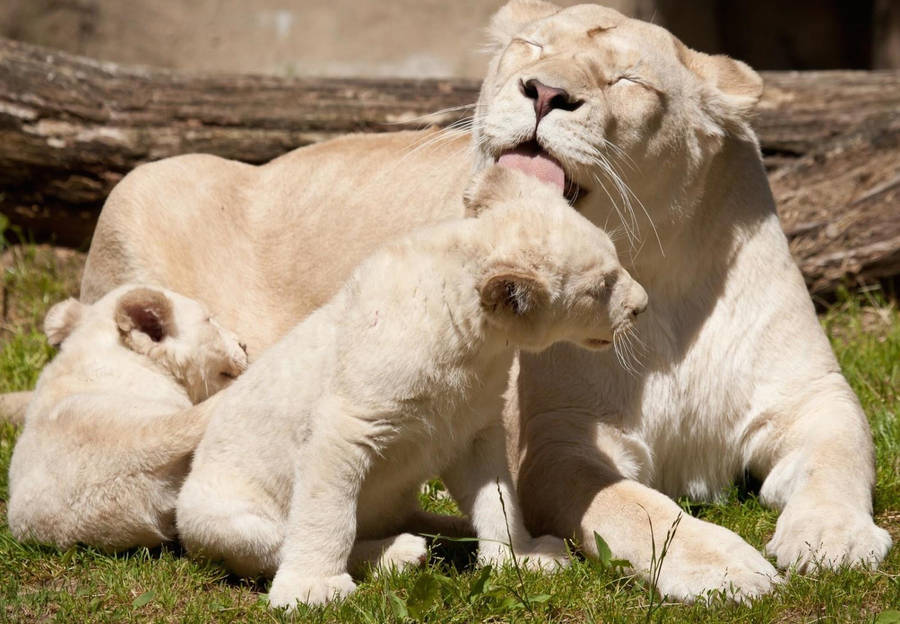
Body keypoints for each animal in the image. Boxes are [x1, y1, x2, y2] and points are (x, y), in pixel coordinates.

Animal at [69, 0, 889, 601]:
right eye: (529, 46)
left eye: (627, 79)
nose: (547, 93)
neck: (662, 276)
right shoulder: (556, 444)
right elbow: (637, 507)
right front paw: (721, 565)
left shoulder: (810, 393)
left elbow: (843, 454)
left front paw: (831, 538)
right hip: (140, 183)